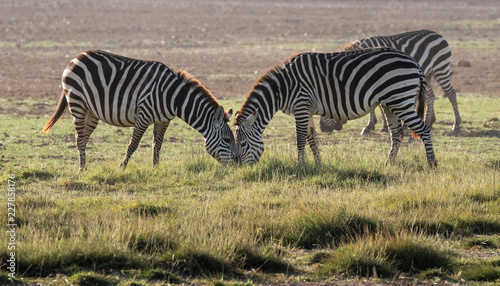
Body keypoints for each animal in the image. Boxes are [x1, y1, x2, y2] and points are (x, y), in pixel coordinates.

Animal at [43, 49, 238, 170]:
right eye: (227, 140)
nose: (238, 164)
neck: (173, 97)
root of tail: (76, 56)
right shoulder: (144, 114)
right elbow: (133, 144)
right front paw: (122, 167)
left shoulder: (163, 120)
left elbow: (157, 145)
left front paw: (155, 168)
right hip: (77, 103)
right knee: (79, 139)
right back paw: (81, 169)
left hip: (92, 112)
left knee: (83, 138)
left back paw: (84, 167)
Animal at [235, 47, 438, 166]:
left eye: (242, 143)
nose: (241, 168)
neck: (282, 88)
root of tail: (413, 60)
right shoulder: (307, 110)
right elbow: (312, 139)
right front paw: (318, 165)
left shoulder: (301, 106)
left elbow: (300, 139)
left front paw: (300, 166)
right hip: (390, 103)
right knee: (397, 134)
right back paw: (389, 163)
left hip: (400, 99)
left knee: (423, 129)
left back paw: (432, 163)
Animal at [320, 29, 460, 135]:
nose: (322, 128)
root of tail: (438, 34)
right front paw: (373, 125)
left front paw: (376, 126)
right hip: (428, 74)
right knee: (430, 96)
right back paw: (429, 121)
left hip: (440, 69)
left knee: (451, 93)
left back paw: (456, 125)